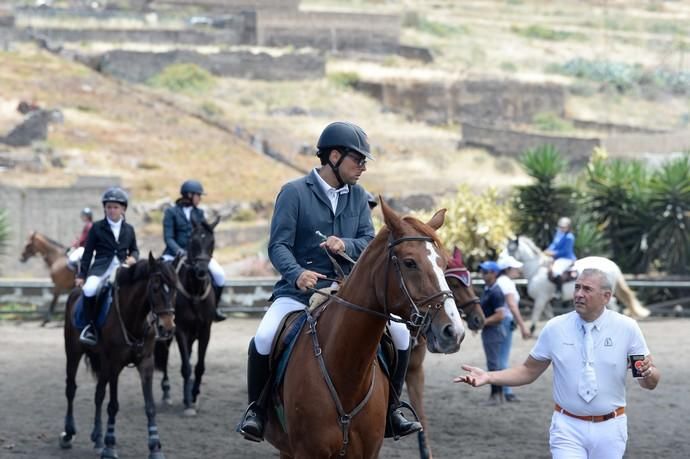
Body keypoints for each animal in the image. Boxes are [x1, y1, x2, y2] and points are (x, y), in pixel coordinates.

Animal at [59, 255, 176, 459]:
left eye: (175, 289)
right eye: (155, 288)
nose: (167, 328)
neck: (135, 318)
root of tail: (75, 292)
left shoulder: (146, 363)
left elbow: (150, 406)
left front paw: (155, 447)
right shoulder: (114, 364)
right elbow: (113, 405)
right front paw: (110, 446)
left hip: (102, 364)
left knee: (98, 394)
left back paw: (97, 438)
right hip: (73, 353)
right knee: (71, 389)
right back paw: (68, 433)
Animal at [260, 199, 464, 458]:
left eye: (444, 264)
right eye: (410, 263)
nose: (454, 332)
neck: (347, 372)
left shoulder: (368, 451)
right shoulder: (307, 452)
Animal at [502, 235, 648, 332]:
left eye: (511, 249)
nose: (501, 258)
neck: (536, 269)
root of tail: (612, 264)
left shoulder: (541, 299)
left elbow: (536, 313)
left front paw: (531, 330)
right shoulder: (545, 300)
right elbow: (548, 315)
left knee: (612, 304)